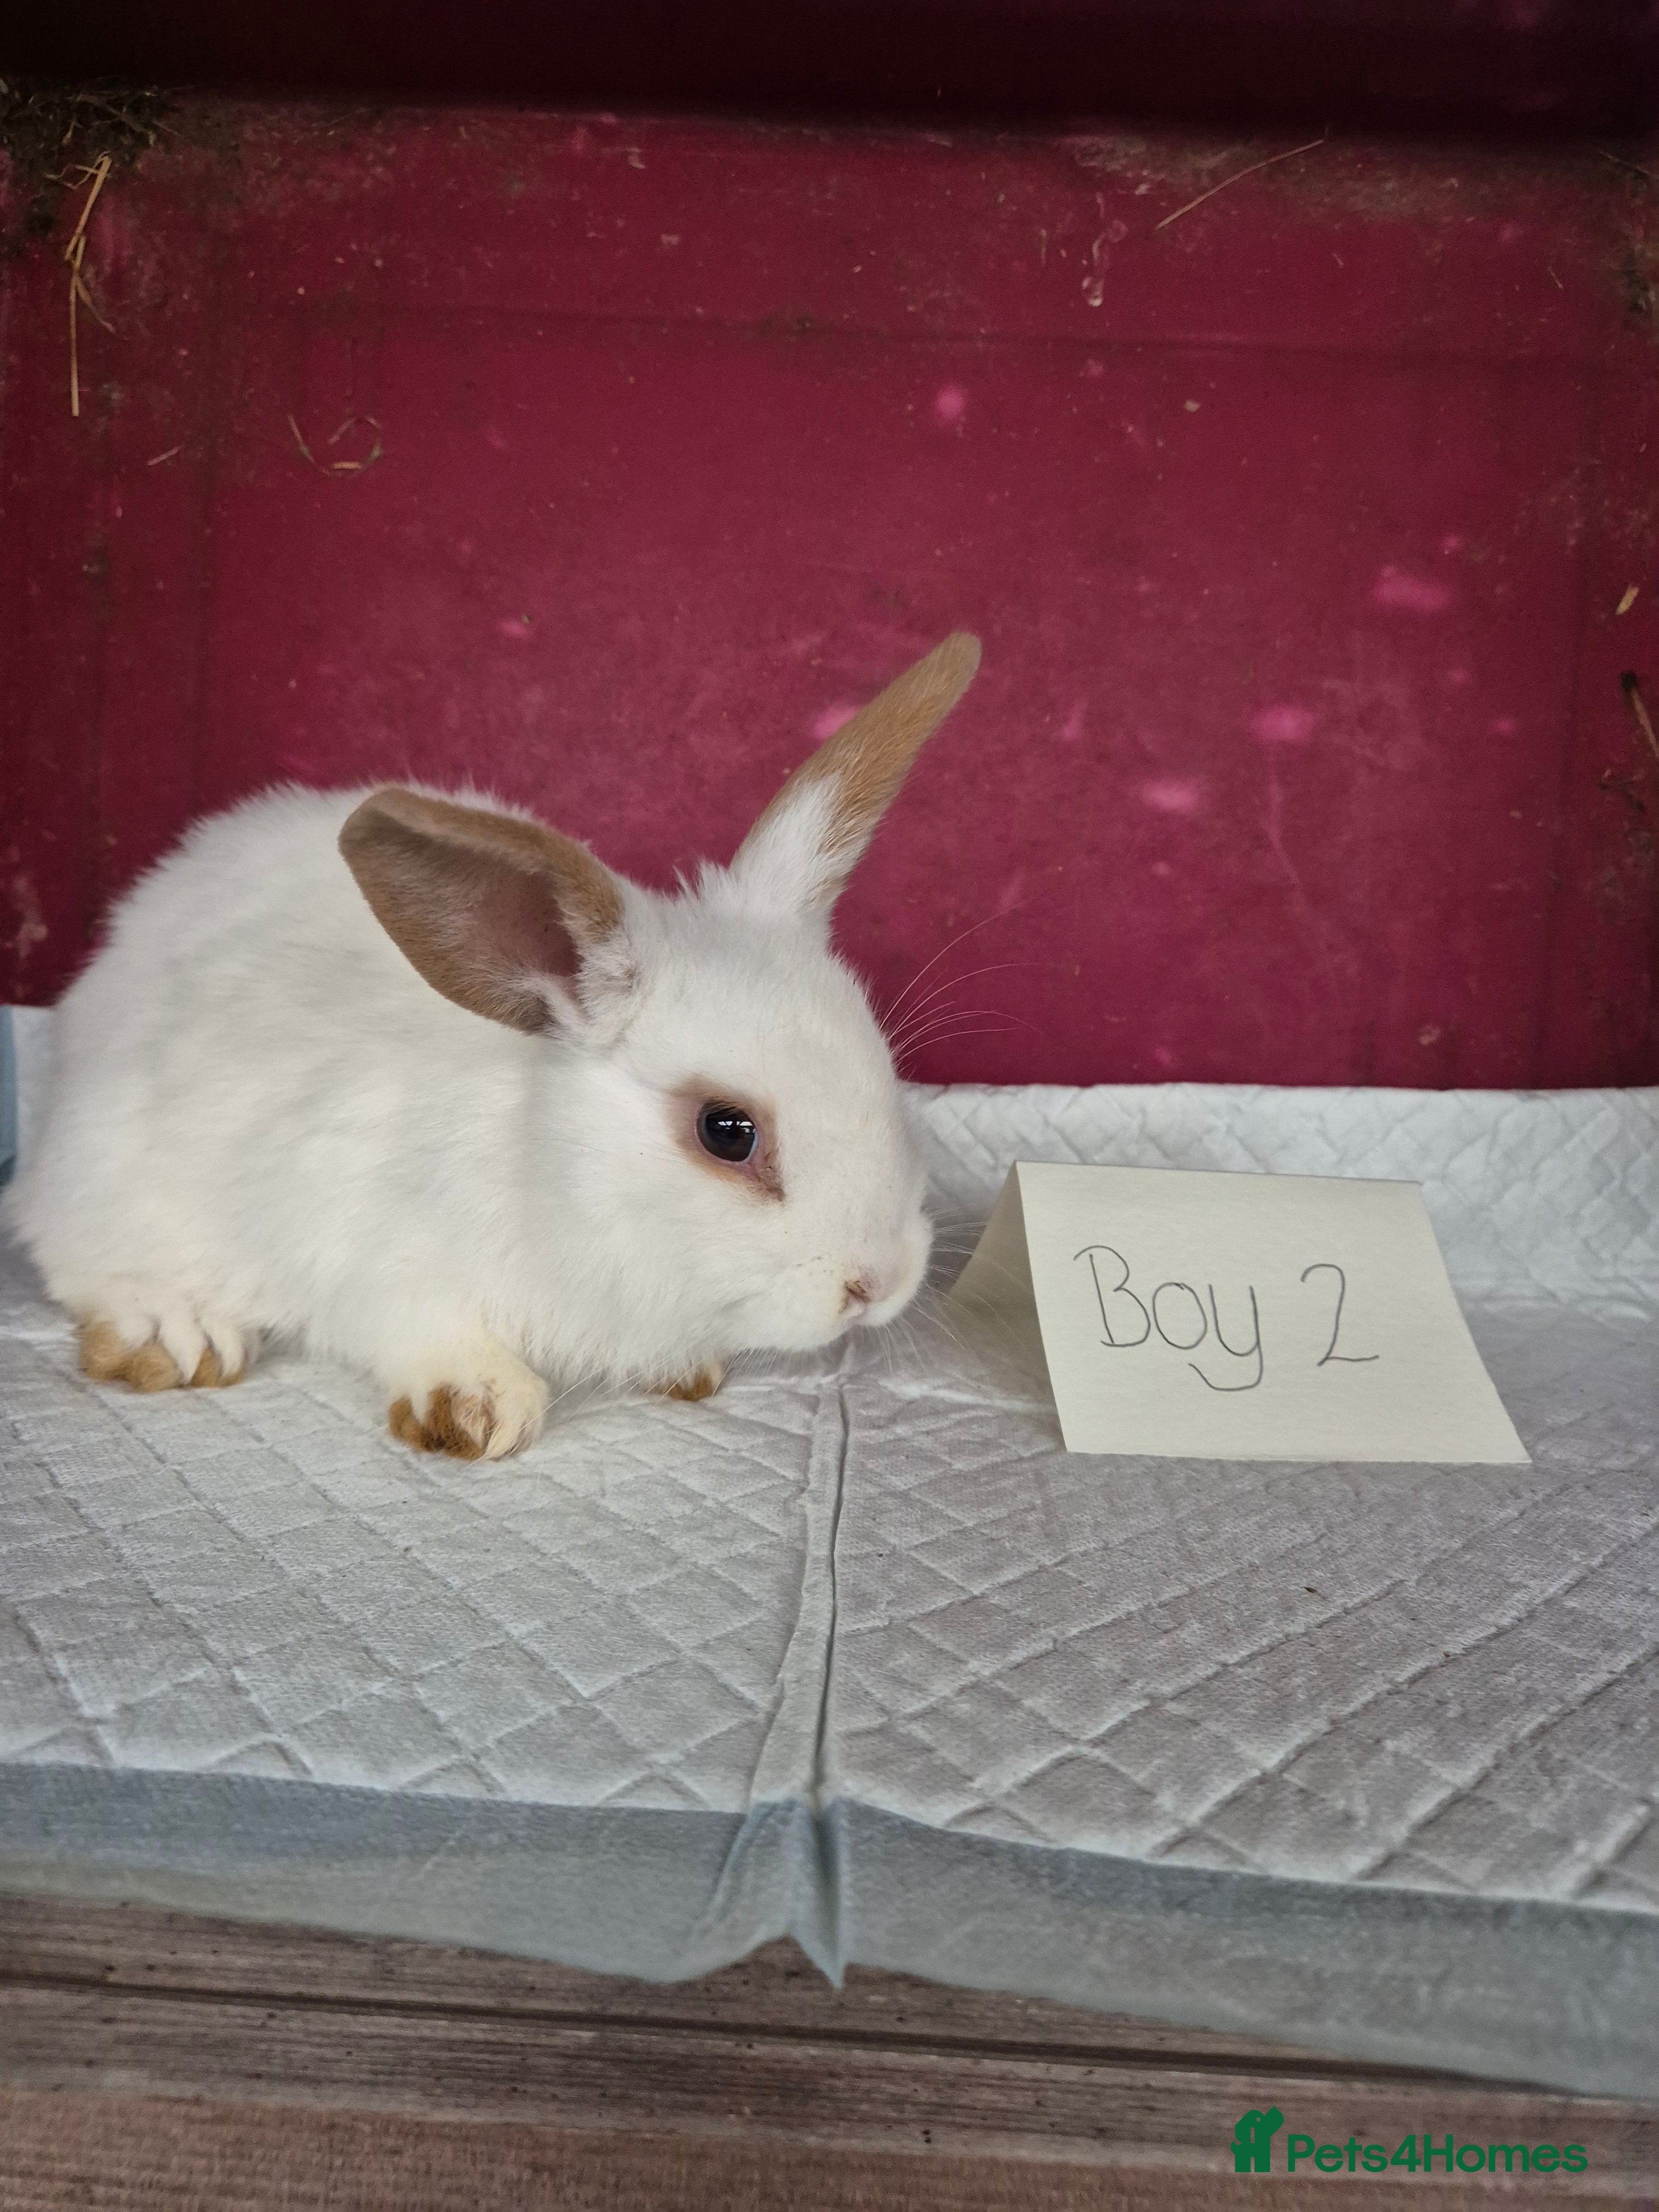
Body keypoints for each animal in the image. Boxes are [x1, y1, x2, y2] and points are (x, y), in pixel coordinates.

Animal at [6, 633, 981, 1460]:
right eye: (727, 1131)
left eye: (884, 1076)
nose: (879, 1283)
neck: (552, 1169)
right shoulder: (367, 1243)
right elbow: (419, 1326)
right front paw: (479, 1405)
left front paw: (685, 1369)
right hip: (115, 1180)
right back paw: (178, 1332)